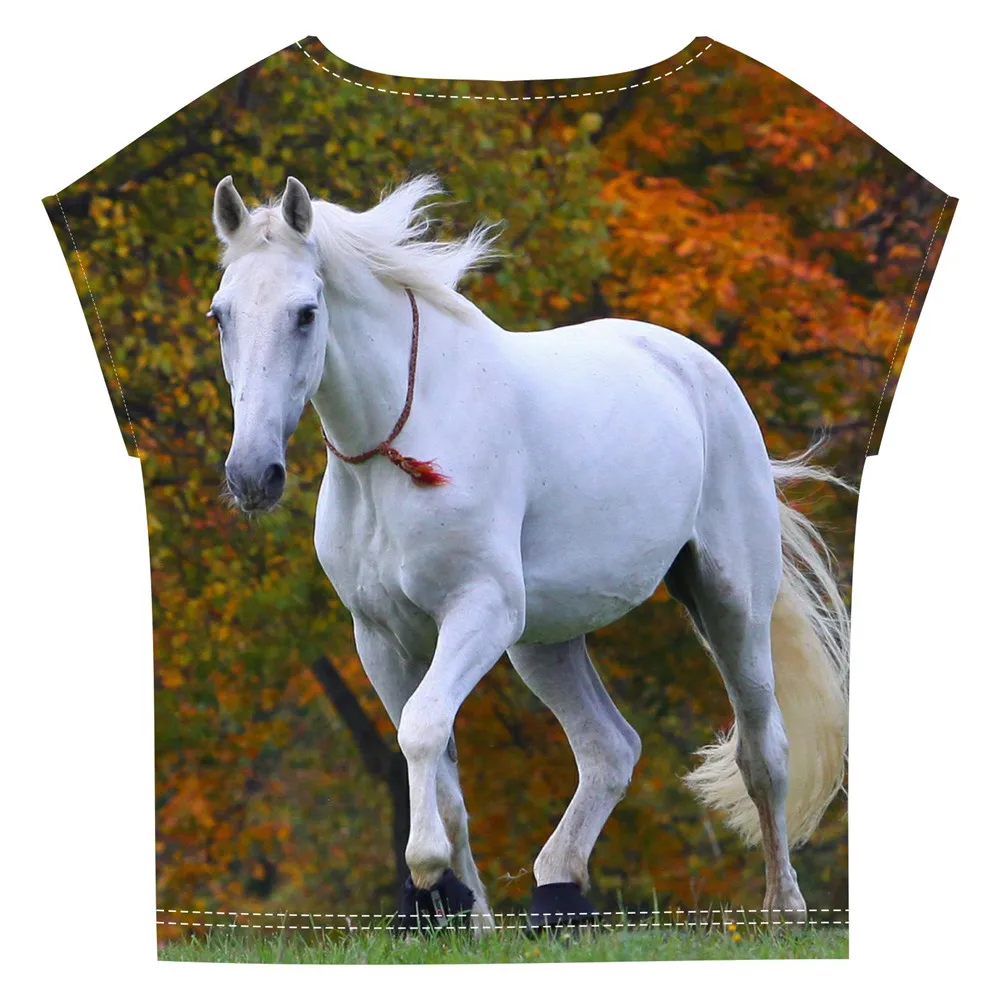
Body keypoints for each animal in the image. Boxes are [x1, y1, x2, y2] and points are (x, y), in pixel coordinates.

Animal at [209, 172, 850, 931]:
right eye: (220, 316)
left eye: (306, 313)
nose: (253, 476)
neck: (400, 445)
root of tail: (699, 369)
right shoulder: (381, 637)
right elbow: (443, 772)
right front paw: (465, 917)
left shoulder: (479, 611)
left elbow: (423, 728)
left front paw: (427, 874)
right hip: (545, 641)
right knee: (609, 749)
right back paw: (557, 895)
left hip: (730, 605)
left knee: (763, 750)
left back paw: (783, 909)